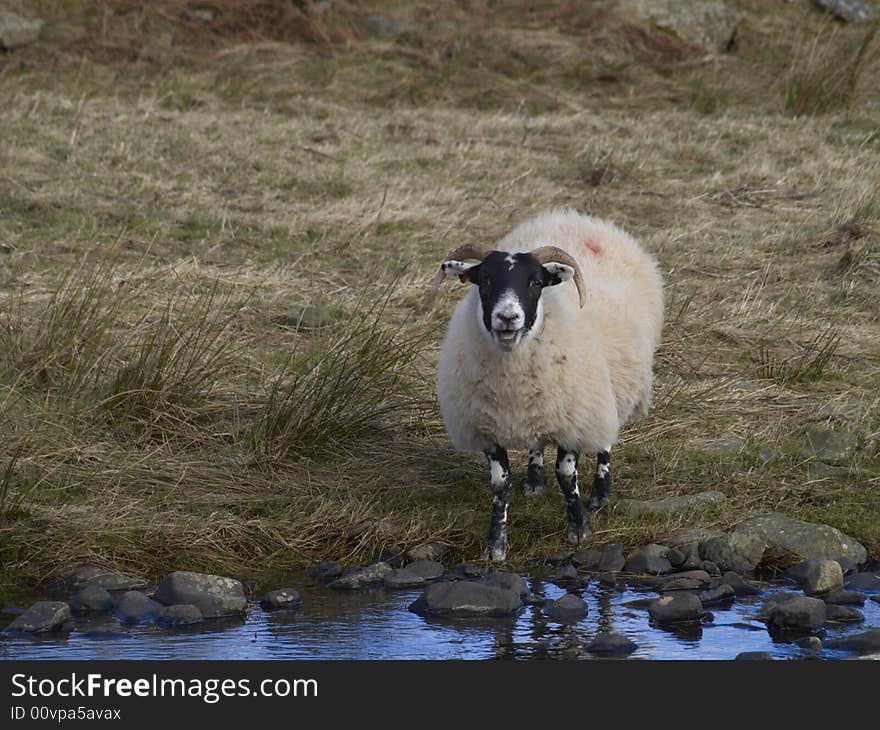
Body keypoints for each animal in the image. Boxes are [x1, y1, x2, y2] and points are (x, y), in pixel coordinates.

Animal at [434, 208, 668, 560]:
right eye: (484, 280)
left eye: (535, 283)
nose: (507, 318)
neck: (511, 375)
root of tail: (579, 219)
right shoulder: (486, 427)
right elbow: (500, 484)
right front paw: (496, 544)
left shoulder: (575, 416)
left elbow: (567, 476)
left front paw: (579, 528)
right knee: (537, 441)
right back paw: (534, 478)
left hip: (605, 390)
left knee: (605, 438)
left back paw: (600, 493)